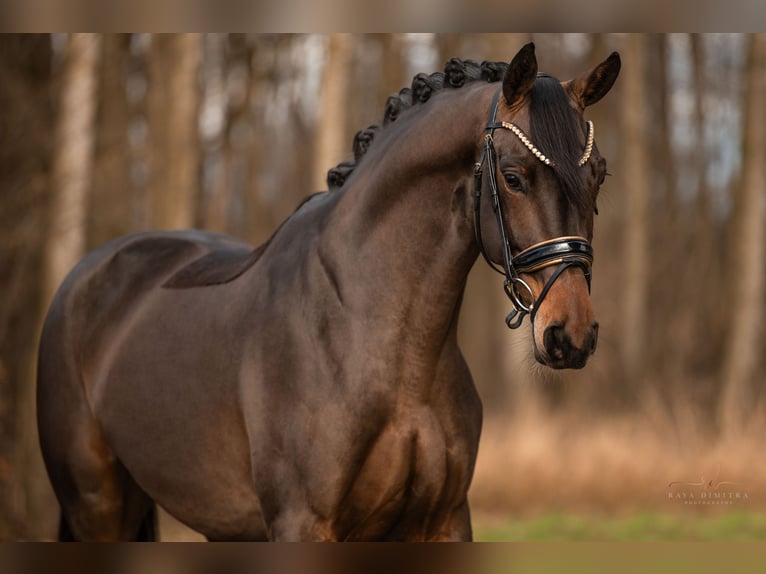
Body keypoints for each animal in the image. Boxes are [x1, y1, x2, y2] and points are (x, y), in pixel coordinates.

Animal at [37, 42, 624, 544]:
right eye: (514, 176)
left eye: (598, 175)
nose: (571, 334)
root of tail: (86, 274)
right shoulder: (303, 522)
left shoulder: (444, 521)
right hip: (97, 505)